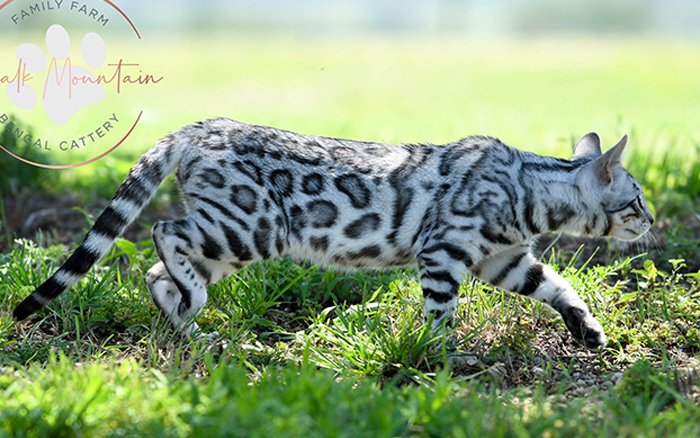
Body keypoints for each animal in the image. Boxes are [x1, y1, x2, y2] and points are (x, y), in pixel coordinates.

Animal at [13, 118, 652, 348]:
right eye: (639, 199)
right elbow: (441, 313)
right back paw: (192, 307)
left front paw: (589, 330)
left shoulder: (505, 260)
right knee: (164, 234)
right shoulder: (443, 253)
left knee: (157, 271)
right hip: (250, 227)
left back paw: (193, 330)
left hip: (229, 235)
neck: (529, 189)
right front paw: (443, 357)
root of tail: (198, 128)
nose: (651, 222)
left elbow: (561, 289)